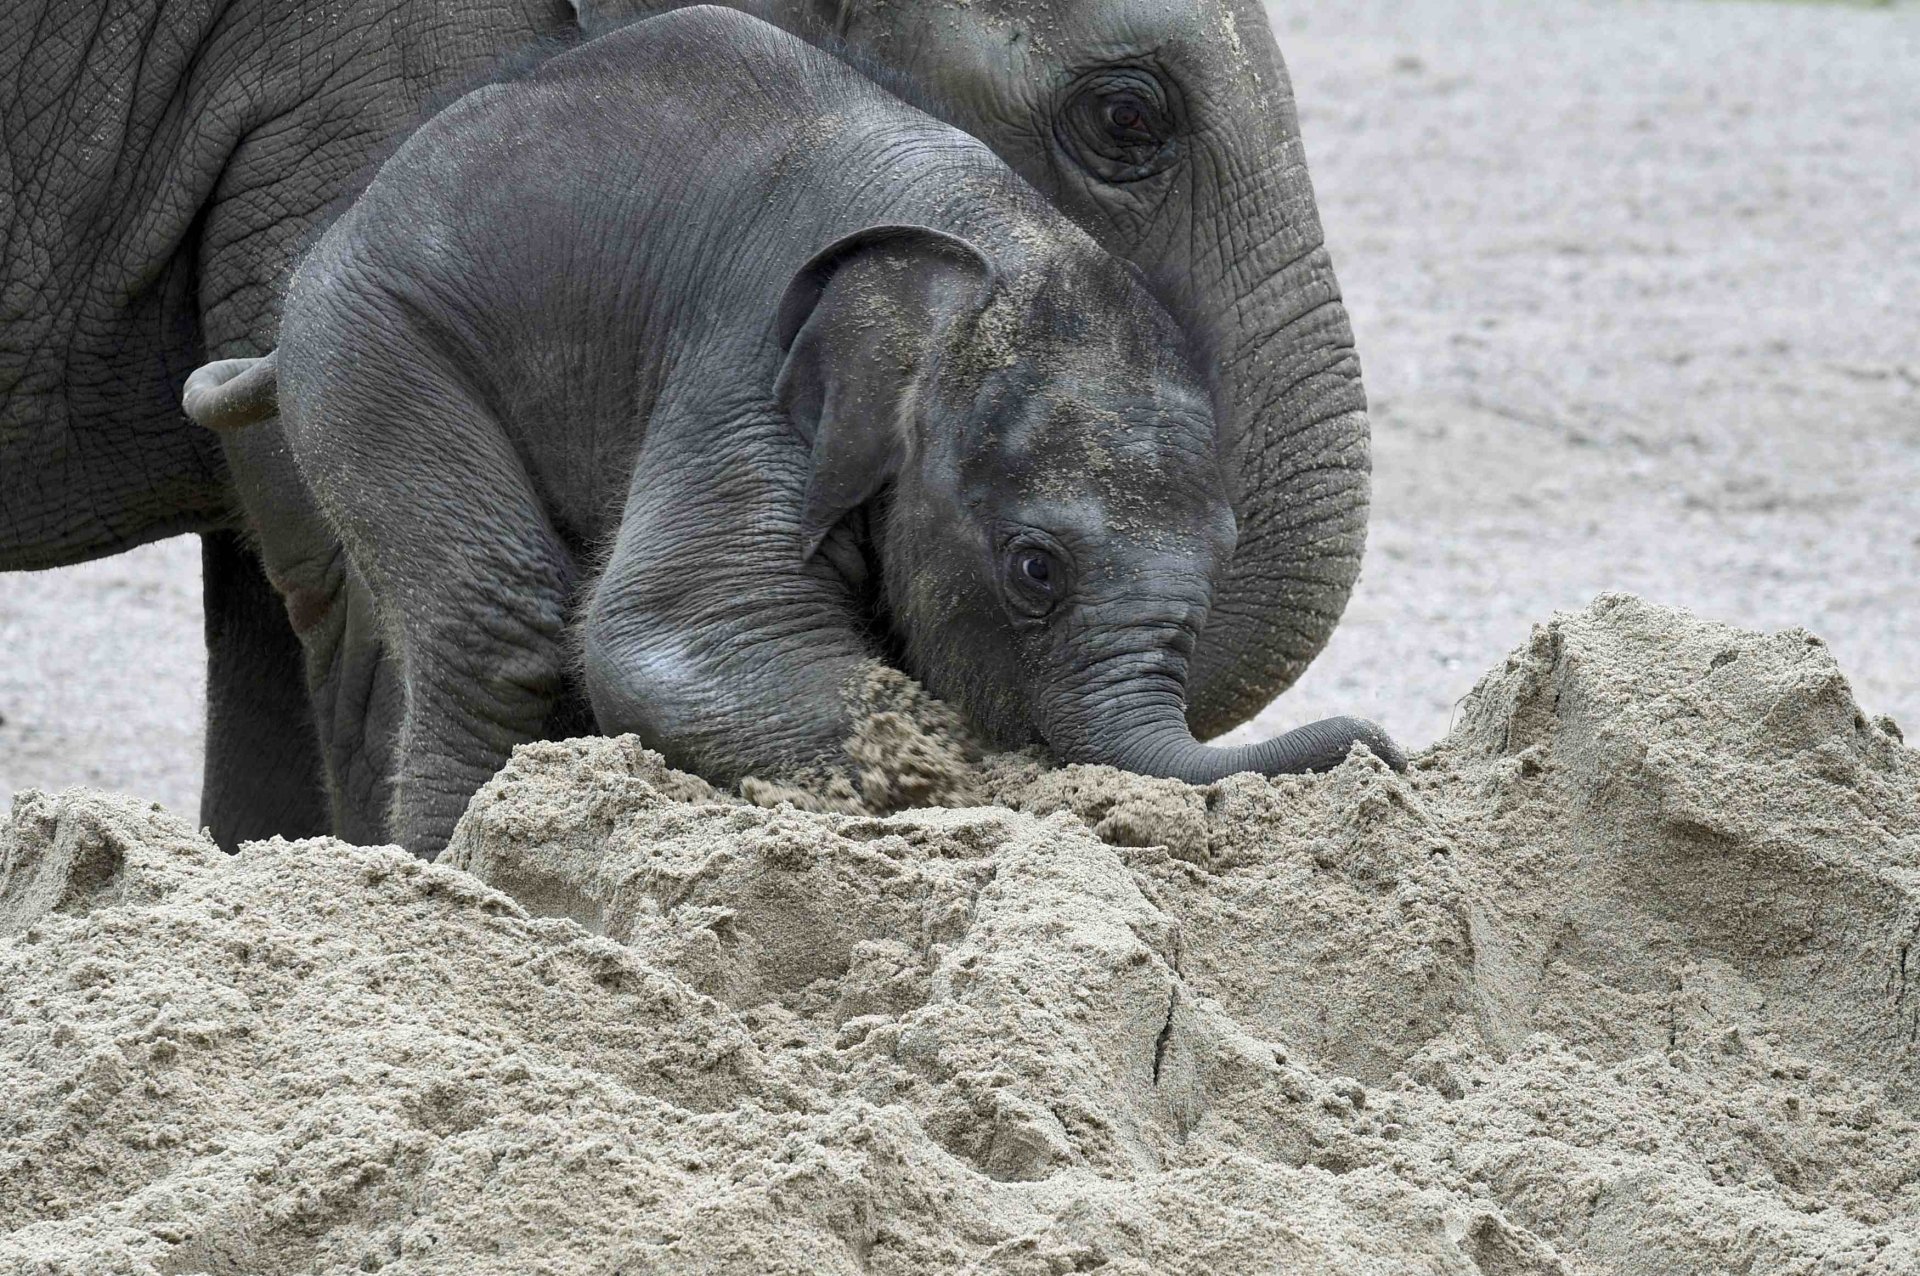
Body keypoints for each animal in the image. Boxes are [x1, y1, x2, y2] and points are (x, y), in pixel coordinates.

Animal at [3, 0, 1370, 846]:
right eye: (1128, 118)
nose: (1382, 749)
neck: (987, 244)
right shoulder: (745, 357)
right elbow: (674, 636)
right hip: (366, 329)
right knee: (497, 622)